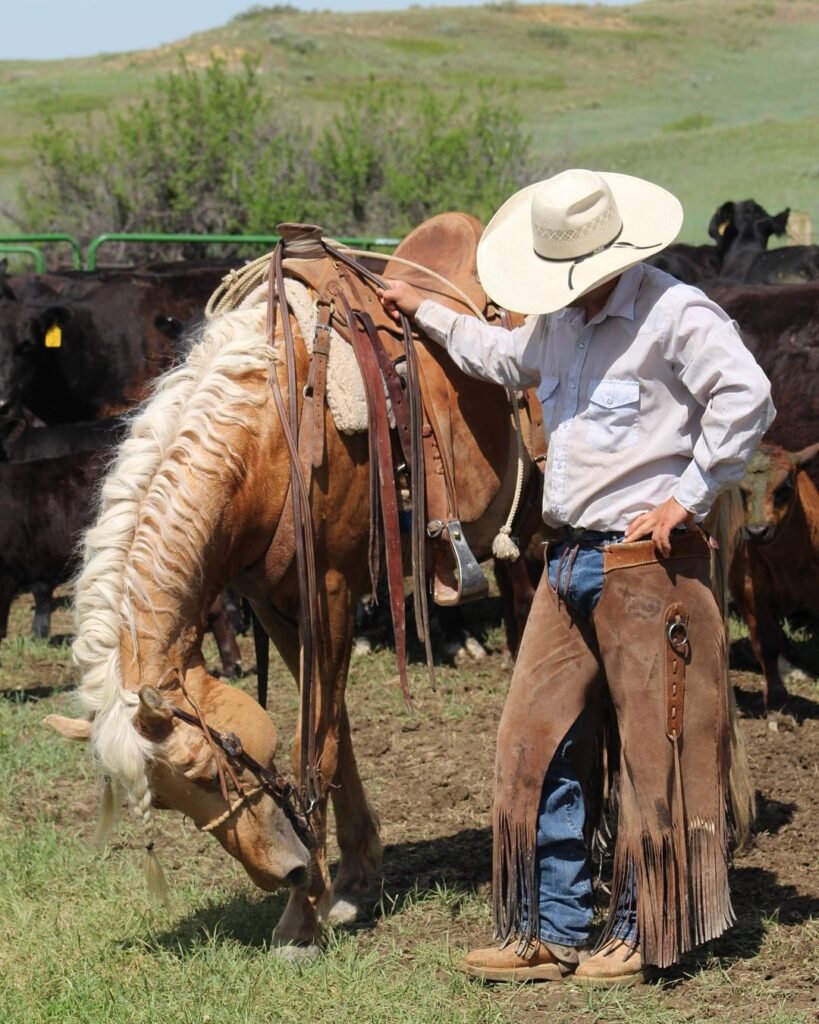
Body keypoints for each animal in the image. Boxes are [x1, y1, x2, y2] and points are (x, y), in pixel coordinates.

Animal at [729, 442, 819, 714]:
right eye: (740, 490)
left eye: (785, 487)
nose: (757, 530)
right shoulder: (747, 589)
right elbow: (766, 641)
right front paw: (777, 698)